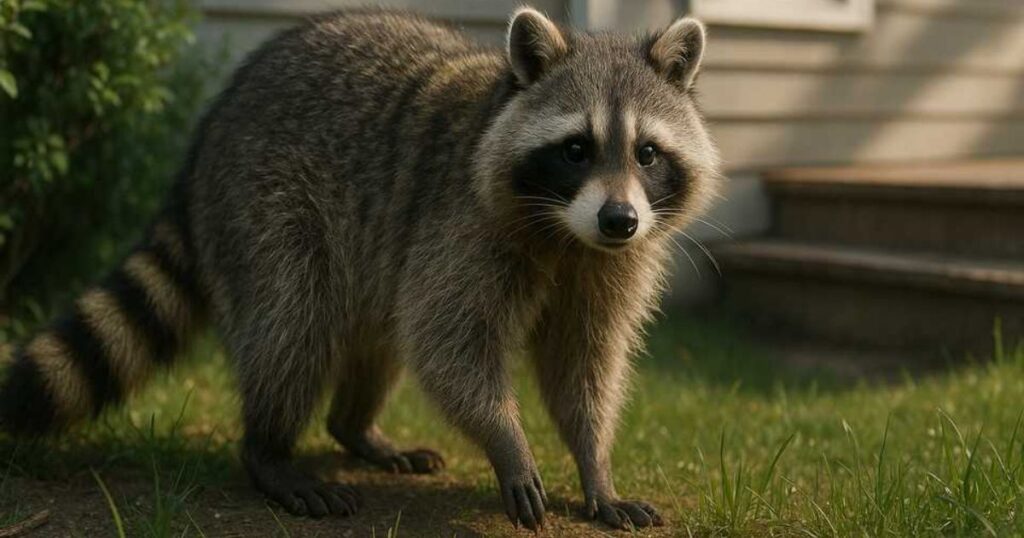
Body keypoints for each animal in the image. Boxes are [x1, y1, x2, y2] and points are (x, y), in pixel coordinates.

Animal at [0, 6, 719, 530]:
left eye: (647, 153)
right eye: (576, 149)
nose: (619, 220)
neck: (567, 234)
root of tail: (207, 135)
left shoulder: (610, 265)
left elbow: (583, 362)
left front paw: (595, 463)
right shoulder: (462, 224)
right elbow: (448, 346)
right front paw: (507, 441)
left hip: (373, 243)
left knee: (376, 332)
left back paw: (354, 426)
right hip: (264, 203)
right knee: (293, 323)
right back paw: (269, 449)